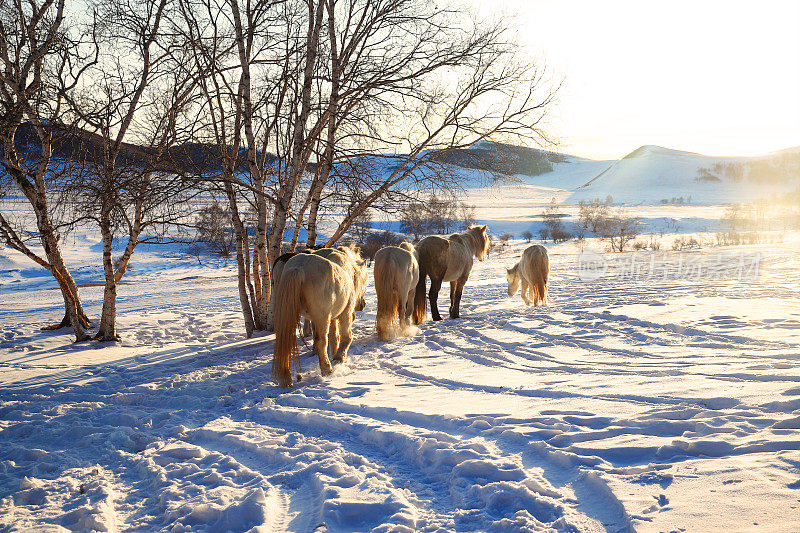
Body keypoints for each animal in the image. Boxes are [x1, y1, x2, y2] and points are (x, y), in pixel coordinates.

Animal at [270, 249, 368, 386]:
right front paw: (339, 358)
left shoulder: (330, 318)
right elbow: (345, 337)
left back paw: (286, 379)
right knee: (320, 341)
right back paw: (327, 370)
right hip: (322, 318)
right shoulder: (345, 313)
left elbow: (334, 337)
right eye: (363, 281)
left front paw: (335, 355)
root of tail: (299, 267)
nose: (362, 305)